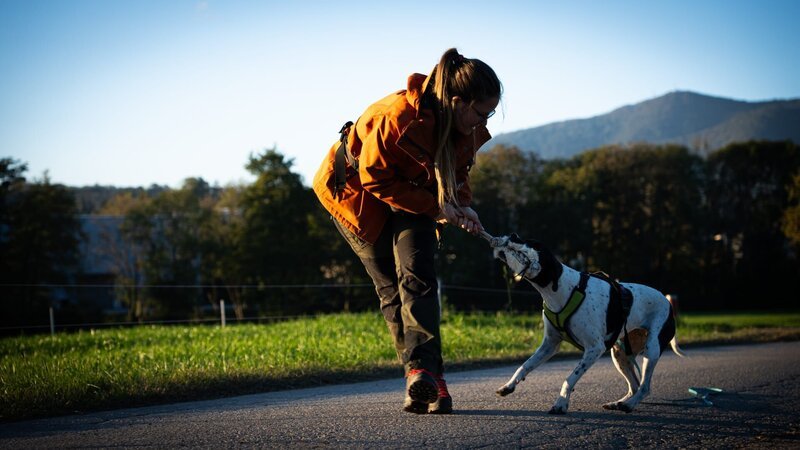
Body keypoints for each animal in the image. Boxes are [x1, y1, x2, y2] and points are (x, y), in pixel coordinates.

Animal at [490, 234, 684, 414]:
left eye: (527, 244)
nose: (511, 235)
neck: (562, 289)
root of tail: (668, 302)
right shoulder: (549, 345)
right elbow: (524, 366)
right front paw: (508, 386)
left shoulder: (594, 348)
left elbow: (569, 378)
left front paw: (561, 403)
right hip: (620, 354)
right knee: (634, 386)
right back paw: (618, 403)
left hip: (651, 349)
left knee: (645, 387)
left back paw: (628, 405)